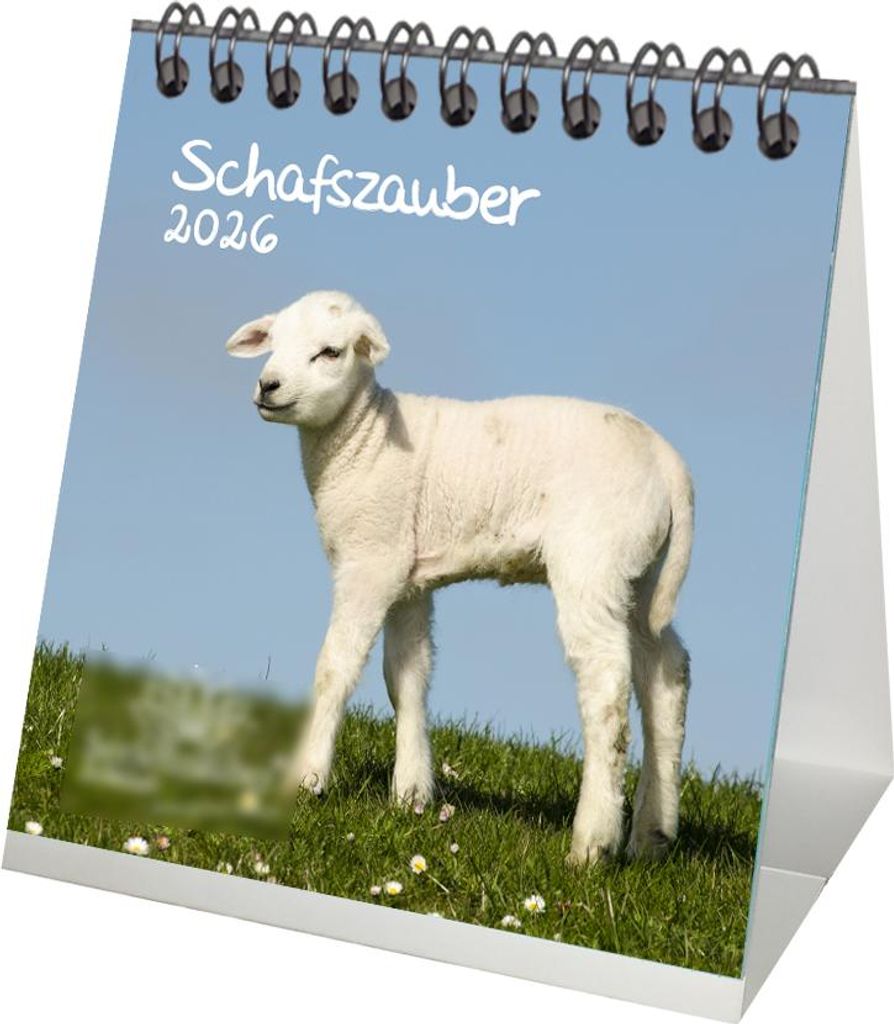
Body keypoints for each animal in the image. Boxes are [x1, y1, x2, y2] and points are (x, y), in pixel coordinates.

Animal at [226, 290, 693, 865]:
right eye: (273, 342)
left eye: (330, 352)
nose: (268, 385)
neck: (363, 438)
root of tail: (669, 465)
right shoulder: (407, 575)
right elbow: (406, 677)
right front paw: (410, 794)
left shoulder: (370, 561)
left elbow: (336, 666)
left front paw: (306, 777)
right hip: (643, 574)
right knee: (666, 673)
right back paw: (652, 835)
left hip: (594, 561)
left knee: (606, 681)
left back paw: (591, 844)